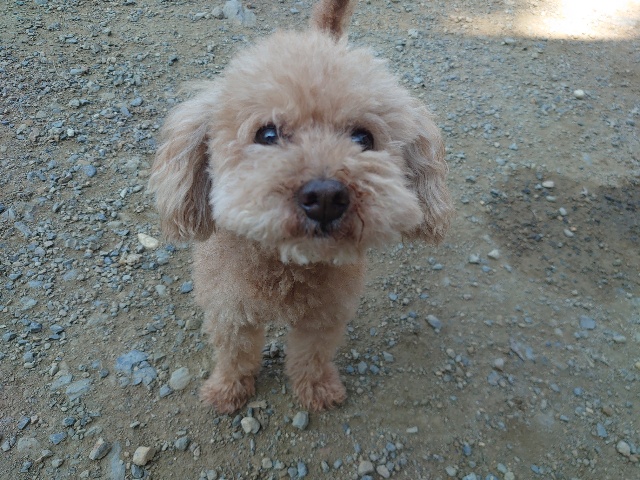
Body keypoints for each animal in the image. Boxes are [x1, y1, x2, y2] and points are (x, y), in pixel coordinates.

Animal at [148, 0, 453, 414]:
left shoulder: (323, 317)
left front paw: (317, 389)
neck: (286, 267)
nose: (325, 197)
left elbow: (312, 355)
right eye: (267, 133)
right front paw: (227, 391)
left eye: (364, 138)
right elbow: (234, 356)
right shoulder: (230, 313)